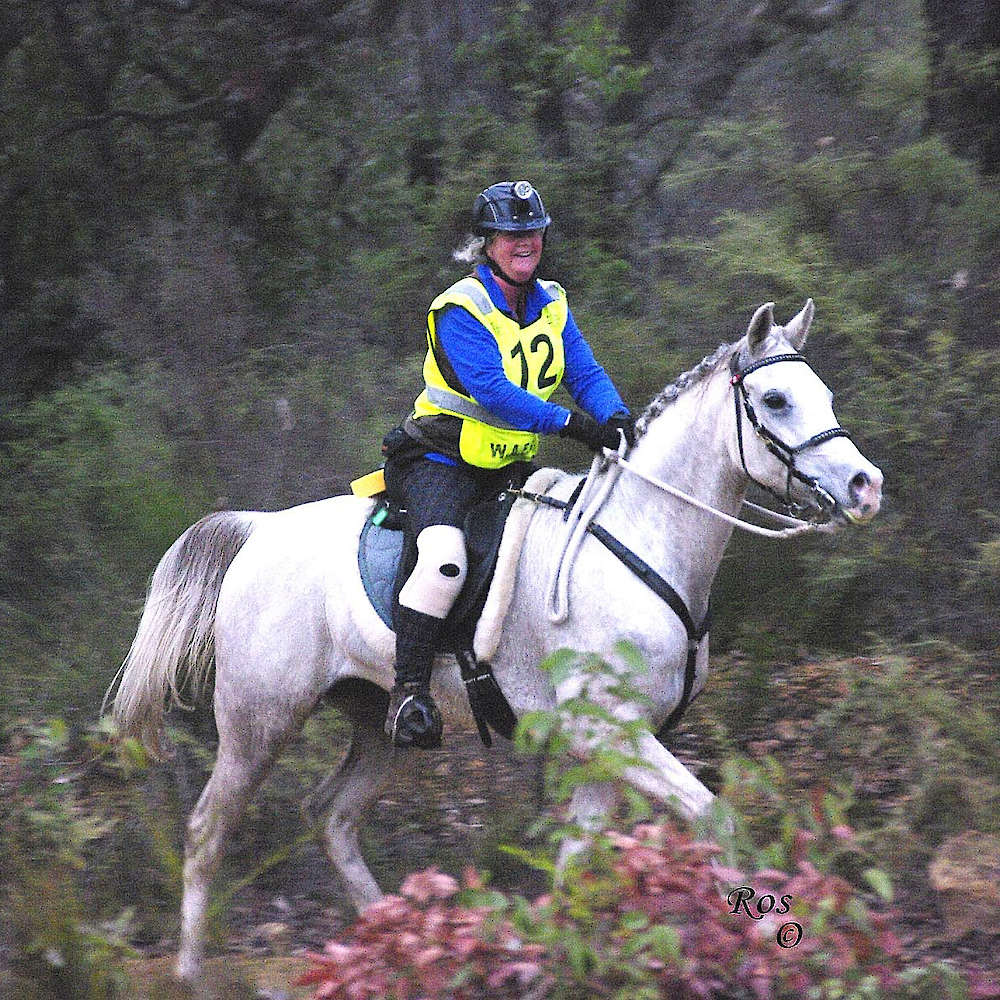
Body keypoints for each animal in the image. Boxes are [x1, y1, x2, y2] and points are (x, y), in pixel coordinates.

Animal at [108, 299, 882, 986]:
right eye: (776, 399)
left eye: (824, 394)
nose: (864, 485)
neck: (640, 539)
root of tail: (260, 529)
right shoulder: (615, 734)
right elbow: (713, 818)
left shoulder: (605, 748)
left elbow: (576, 866)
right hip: (258, 722)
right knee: (208, 830)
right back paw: (192, 972)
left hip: (379, 723)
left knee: (332, 817)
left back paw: (397, 940)